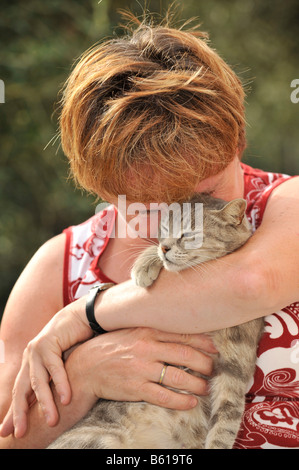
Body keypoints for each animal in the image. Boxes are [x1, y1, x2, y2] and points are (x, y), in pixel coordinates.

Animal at [48, 194, 264, 448]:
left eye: (188, 234)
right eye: (165, 229)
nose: (165, 247)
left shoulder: (234, 367)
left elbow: (225, 424)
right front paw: (146, 262)